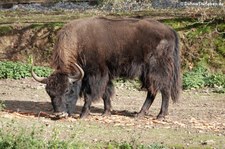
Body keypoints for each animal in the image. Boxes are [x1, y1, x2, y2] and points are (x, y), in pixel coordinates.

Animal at [32, 16, 181, 119]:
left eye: (68, 90)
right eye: (49, 92)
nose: (59, 114)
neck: (79, 42)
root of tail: (170, 30)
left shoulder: (95, 75)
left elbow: (90, 94)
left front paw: (83, 114)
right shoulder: (104, 75)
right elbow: (106, 93)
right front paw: (106, 112)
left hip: (157, 70)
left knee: (164, 90)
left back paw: (160, 115)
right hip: (146, 73)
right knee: (152, 91)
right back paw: (140, 114)